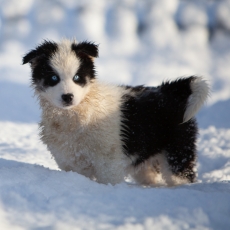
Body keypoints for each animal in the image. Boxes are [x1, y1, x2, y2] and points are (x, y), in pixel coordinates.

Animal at [22, 39, 209, 186]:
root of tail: (169, 92)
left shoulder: (108, 163)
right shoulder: (71, 162)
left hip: (177, 152)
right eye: (53, 78)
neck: (78, 114)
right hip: (147, 161)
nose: (68, 97)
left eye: (77, 78)